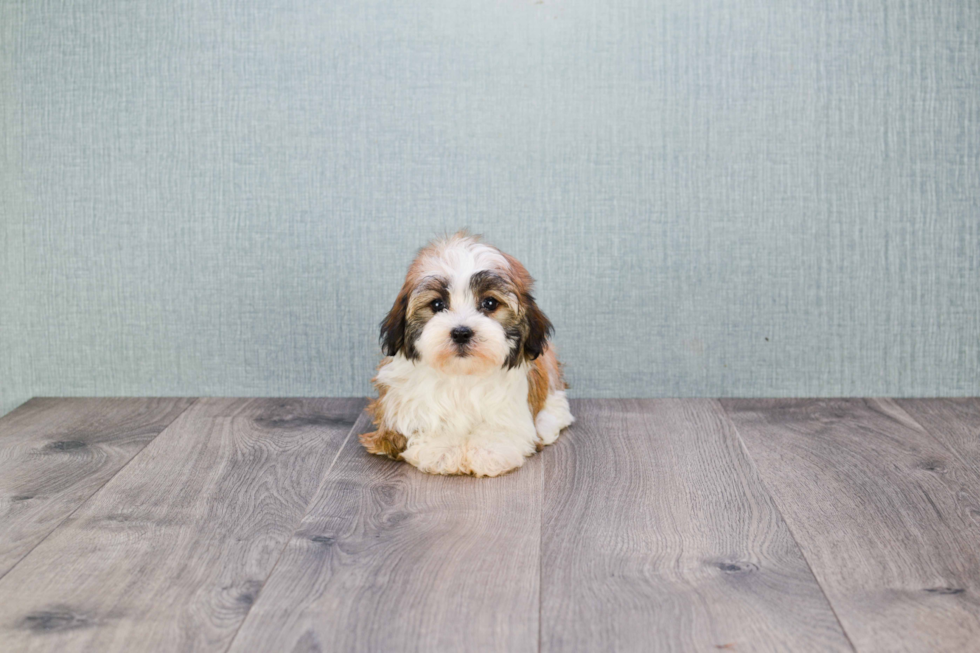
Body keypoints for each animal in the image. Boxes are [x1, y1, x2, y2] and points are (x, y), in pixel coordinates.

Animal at [360, 232, 576, 476]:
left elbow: (500, 428)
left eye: (489, 303)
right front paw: (442, 449)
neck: (461, 374)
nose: (461, 332)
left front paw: (487, 451)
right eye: (437, 304)